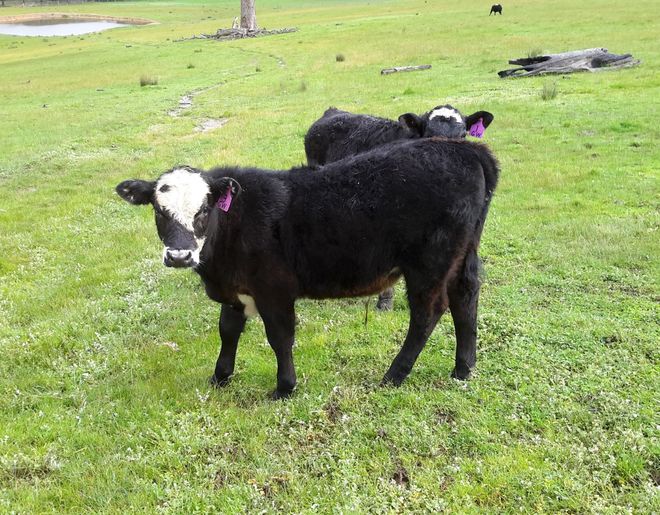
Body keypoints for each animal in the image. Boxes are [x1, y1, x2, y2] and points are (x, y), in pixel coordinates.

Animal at [115, 138, 499, 399]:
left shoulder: (274, 289)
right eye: (159, 210)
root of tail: (464, 149)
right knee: (465, 297)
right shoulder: (237, 289)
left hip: (429, 263)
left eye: (204, 209)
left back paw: (394, 375)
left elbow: (280, 337)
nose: (180, 256)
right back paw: (463, 369)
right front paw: (220, 377)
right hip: (463, 255)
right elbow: (228, 330)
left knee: (427, 313)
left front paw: (284, 387)